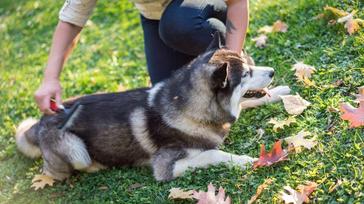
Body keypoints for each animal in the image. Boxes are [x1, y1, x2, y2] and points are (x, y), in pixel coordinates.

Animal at [16, 32, 290, 181]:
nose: (272, 72)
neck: (187, 109)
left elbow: (250, 101)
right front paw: (243, 160)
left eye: (249, 64)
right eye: (245, 74)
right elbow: (213, 153)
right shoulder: (165, 167)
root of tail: (41, 121)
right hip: (76, 151)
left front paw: (279, 92)